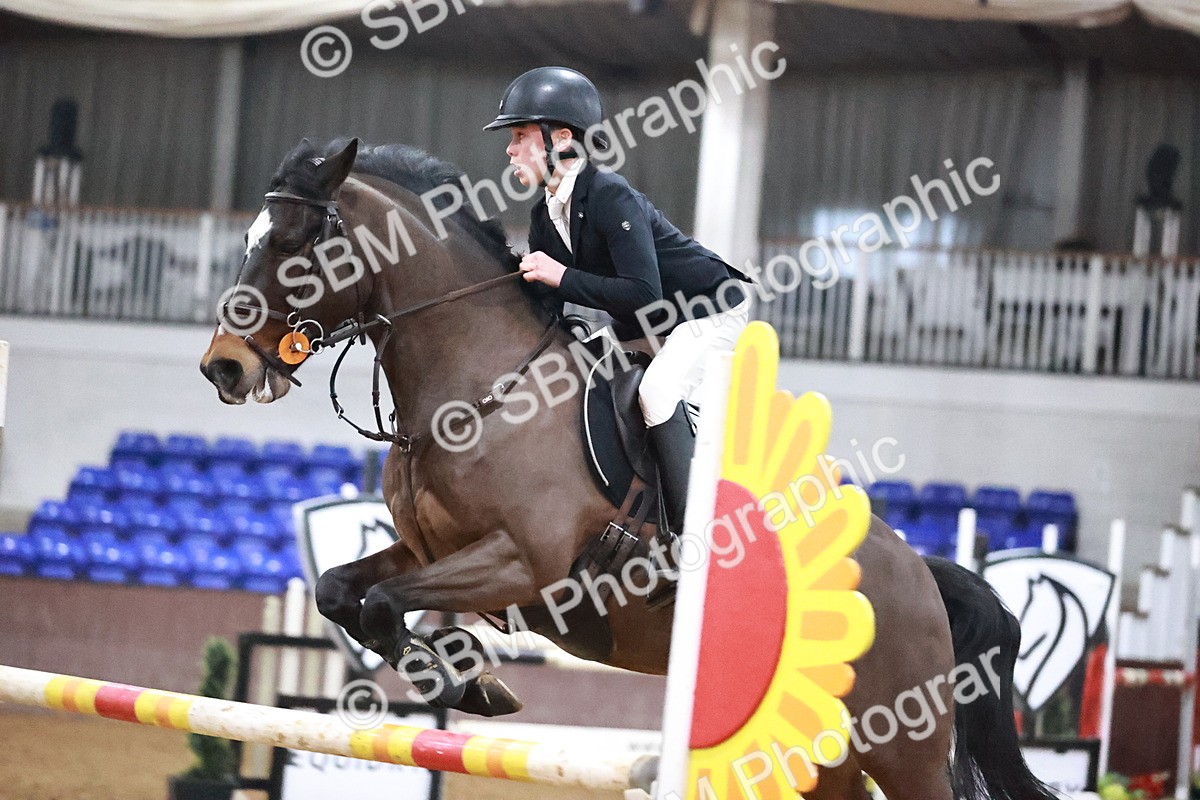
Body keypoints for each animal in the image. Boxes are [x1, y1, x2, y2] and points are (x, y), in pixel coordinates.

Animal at [200, 137, 1056, 800]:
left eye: (293, 244)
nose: (224, 369)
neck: (476, 386)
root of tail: (920, 571)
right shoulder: (430, 550)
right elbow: (342, 592)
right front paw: (468, 676)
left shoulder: (524, 563)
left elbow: (380, 603)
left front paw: (467, 681)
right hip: (827, 746)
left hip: (902, 742)